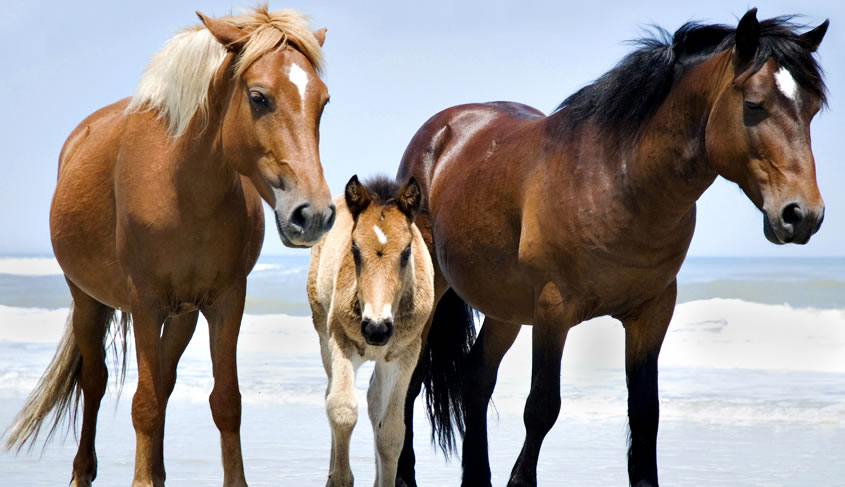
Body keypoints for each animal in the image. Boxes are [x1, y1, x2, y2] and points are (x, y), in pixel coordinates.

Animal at [3, 7, 332, 487]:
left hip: (183, 315)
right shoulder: (145, 302)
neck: (183, 189)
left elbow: (224, 401)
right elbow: (144, 403)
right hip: (87, 299)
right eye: (259, 98)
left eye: (323, 102)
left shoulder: (225, 301)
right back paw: (83, 471)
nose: (314, 215)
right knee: (96, 380)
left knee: (164, 378)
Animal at [304, 175, 436, 487]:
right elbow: (341, 410)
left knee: (375, 402)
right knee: (331, 394)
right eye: (354, 250)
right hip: (323, 335)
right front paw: (339, 479)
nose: (376, 329)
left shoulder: (404, 355)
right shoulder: (340, 342)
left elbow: (391, 433)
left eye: (406, 252)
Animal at [394, 8, 824, 487]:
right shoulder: (553, 310)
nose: (802, 214)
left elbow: (645, 413)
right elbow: (542, 407)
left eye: (812, 109)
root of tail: (442, 131)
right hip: (434, 290)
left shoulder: (652, 313)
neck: (616, 180)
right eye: (753, 105)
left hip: (505, 306)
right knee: (410, 380)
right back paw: (403, 475)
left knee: (476, 378)